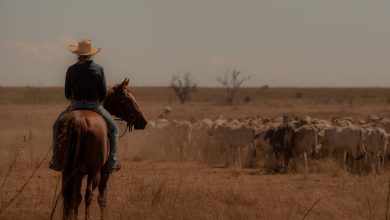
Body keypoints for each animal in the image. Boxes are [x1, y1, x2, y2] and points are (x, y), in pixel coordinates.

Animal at [54, 79, 147, 220]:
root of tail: (79, 121)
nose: (143, 121)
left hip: (67, 170)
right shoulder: (104, 173)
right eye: (129, 99)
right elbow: (102, 198)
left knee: (69, 195)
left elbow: (75, 198)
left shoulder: (78, 174)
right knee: (89, 196)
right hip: (94, 172)